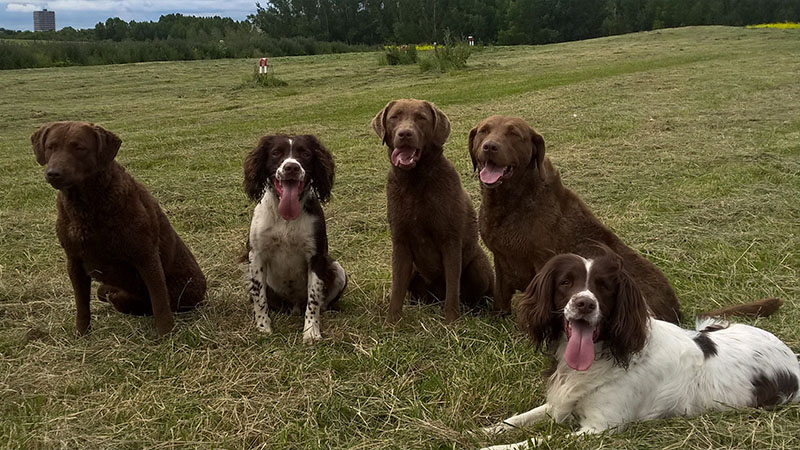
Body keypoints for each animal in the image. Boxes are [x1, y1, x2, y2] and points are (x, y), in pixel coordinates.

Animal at [32, 121, 206, 336]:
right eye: (51, 147)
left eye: (79, 147)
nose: (54, 173)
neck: (86, 207)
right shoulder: (74, 261)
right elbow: (81, 304)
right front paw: (81, 333)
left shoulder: (146, 256)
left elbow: (159, 302)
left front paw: (166, 334)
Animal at [374, 100, 494, 322]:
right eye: (394, 117)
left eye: (421, 117)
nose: (405, 134)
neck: (415, 181)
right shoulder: (400, 242)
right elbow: (397, 288)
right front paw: (392, 322)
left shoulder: (450, 241)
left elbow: (453, 287)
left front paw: (451, 321)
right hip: (415, 270)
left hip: (478, 264)